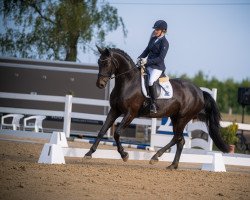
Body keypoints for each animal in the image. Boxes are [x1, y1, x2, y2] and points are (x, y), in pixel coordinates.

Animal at [85, 46, 229, 170]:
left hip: (183, 118)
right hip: (175, 118)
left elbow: (117, 133)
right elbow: (102, 131)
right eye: (99, 62)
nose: (100, 84)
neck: (128, 82)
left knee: (176, 138)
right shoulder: (115, 110)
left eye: (107, 63)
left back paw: (155, 157)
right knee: (180, 140)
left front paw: (124, 155)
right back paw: (172, 165)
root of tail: (200, 91)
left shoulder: (130, 113)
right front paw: (89, 153)